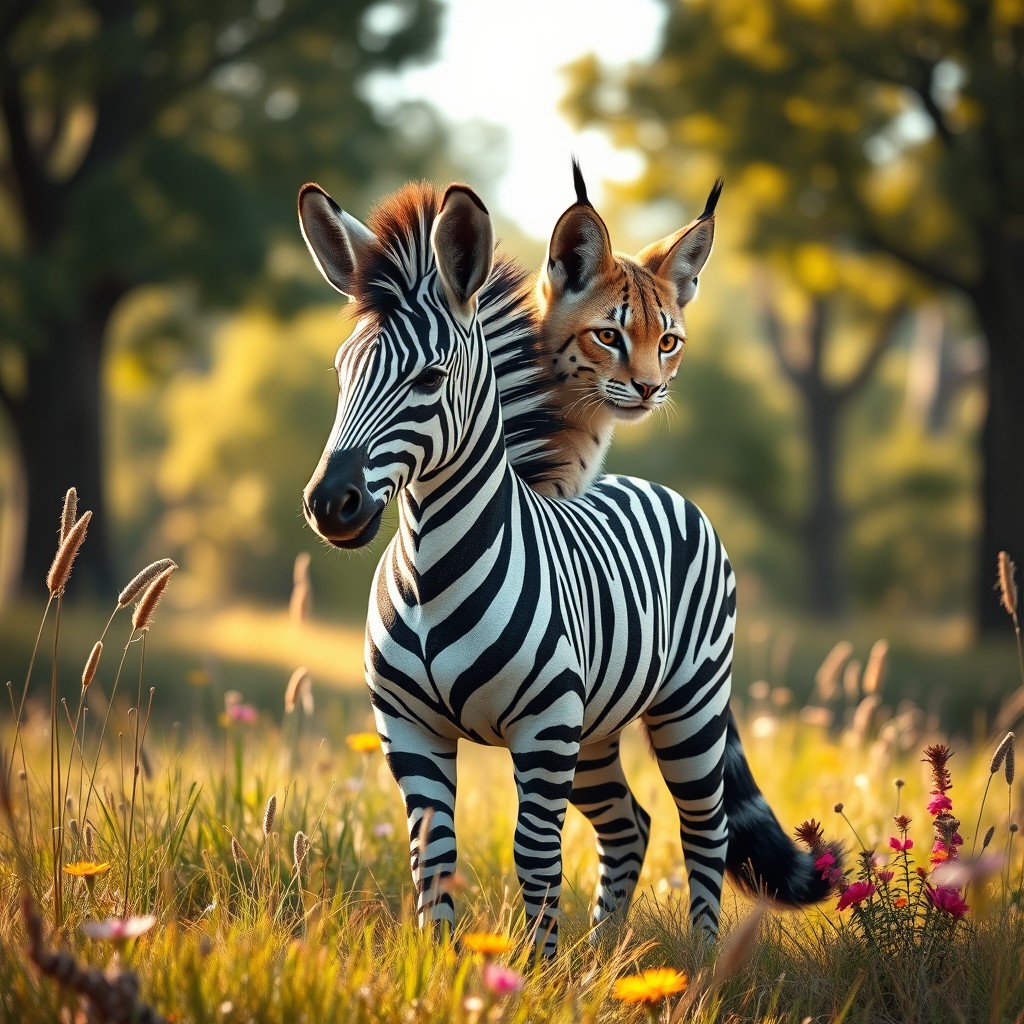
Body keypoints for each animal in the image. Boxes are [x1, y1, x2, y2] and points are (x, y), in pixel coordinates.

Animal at [296, 179, 833, 954]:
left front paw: (531, 970)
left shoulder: (544, 731)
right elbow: (432, 857)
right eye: (342, 372)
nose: (329, 504)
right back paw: (604, 959)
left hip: (689, 705)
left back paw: (701, 964)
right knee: (630, 826)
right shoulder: (408, 730)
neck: (431, 573)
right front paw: (446, 964)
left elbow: (534, 857)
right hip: (597, 729)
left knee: (704, 829)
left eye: (429, 377)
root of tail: (655, 487)